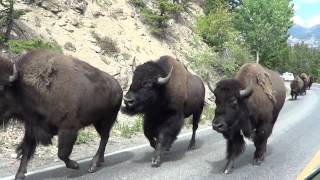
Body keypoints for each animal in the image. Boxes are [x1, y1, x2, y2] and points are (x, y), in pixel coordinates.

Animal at [0, 49, 122, 180]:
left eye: (1, 88)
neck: (24, 88)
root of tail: (118, 87)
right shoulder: (32, 129)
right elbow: (26, 151)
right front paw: (19, 175)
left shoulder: (68, 128)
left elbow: (62, 153)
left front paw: (75, 165)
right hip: (98, 122)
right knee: (104, 138)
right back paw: (100, 161)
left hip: (106, 120)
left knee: (104, 138)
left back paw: (93, 165)